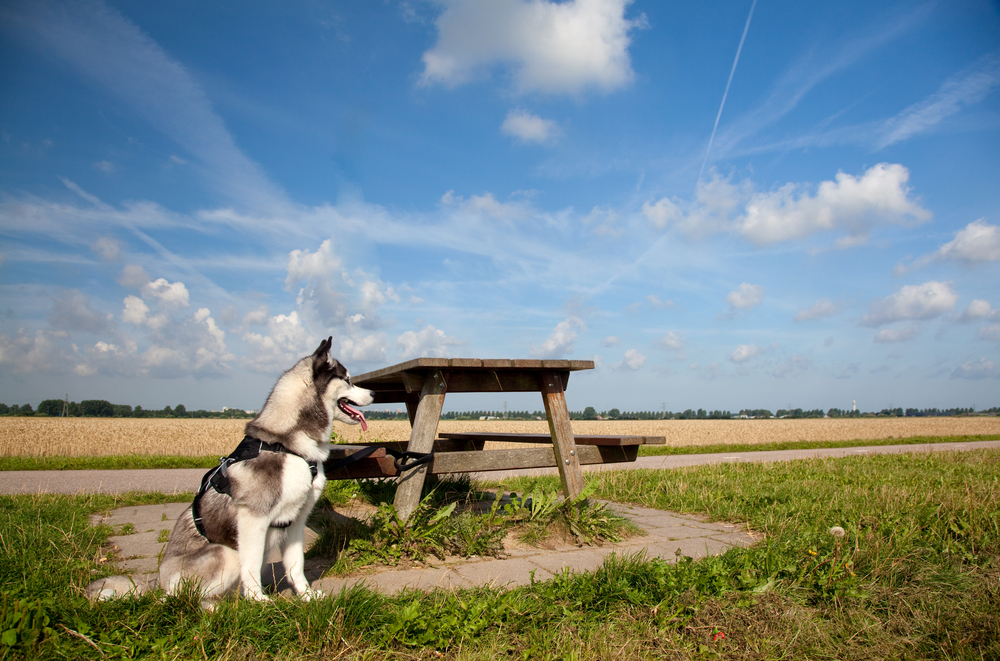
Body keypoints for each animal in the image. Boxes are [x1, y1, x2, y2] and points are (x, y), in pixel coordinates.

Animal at [84, 340, 374, 604]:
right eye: (348, 380)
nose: (372, 393)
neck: (286, 443)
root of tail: (157, 580)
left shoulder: (297, 519)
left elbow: (296, 564)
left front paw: (306, 596)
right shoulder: (253, 519)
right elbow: (252, 566)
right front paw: (259, 603)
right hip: (225, 554)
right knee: (178, 599)